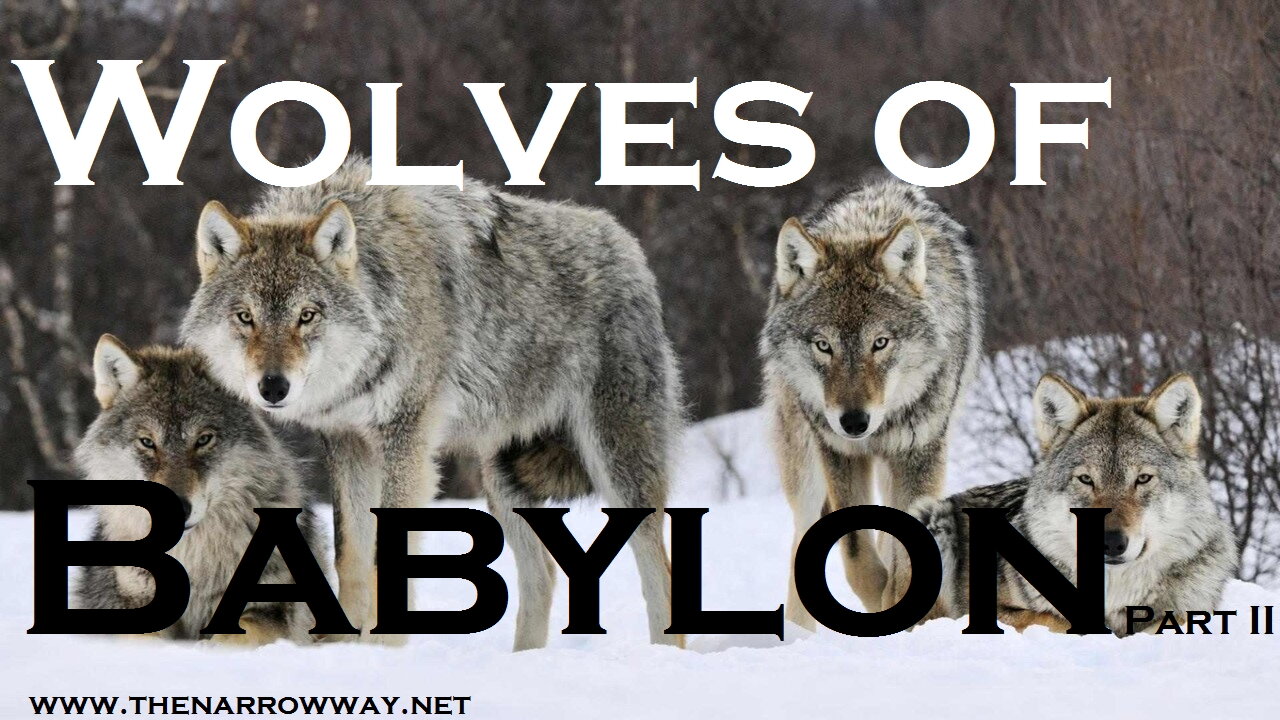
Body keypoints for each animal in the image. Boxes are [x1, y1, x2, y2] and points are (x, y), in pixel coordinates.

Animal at [179, 156, 682, 651]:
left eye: (307, 315)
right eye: (245, 317)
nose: (273, 387)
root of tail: (626, 244)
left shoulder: (406, 440)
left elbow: (386, 560)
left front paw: (384, 651)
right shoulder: (348, 442)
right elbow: (351, 558)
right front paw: (345, 648)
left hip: (616, 465)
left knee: (660, 572)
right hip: (502, 477)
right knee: (543, 574)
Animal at [760, 178, 982, 625]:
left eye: (879, 343)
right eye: (823, 345)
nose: (854, 422)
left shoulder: (920, 453)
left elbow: (902, 557)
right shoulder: (839, 453)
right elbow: (857, 555)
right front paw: (881, 598)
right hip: (805, 464)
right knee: (803, 530)